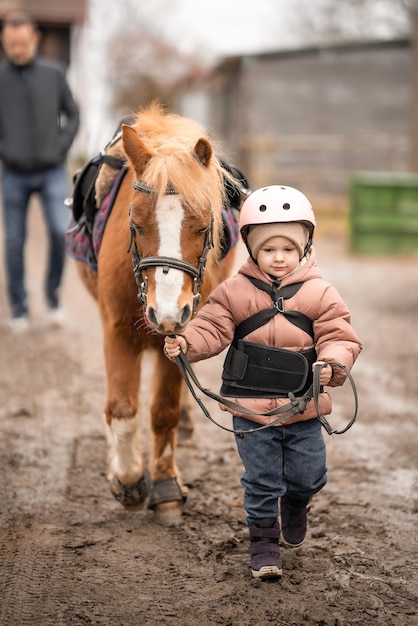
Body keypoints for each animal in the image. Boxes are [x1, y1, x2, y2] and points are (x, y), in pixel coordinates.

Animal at [75, 102, 238, 520]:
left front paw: (164, 484)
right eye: (135, 223)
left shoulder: (180, 328)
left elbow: (163, 410)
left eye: (203, 226)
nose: (165, 310)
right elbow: (122, 408)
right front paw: (129, 479)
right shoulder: (116, 329)